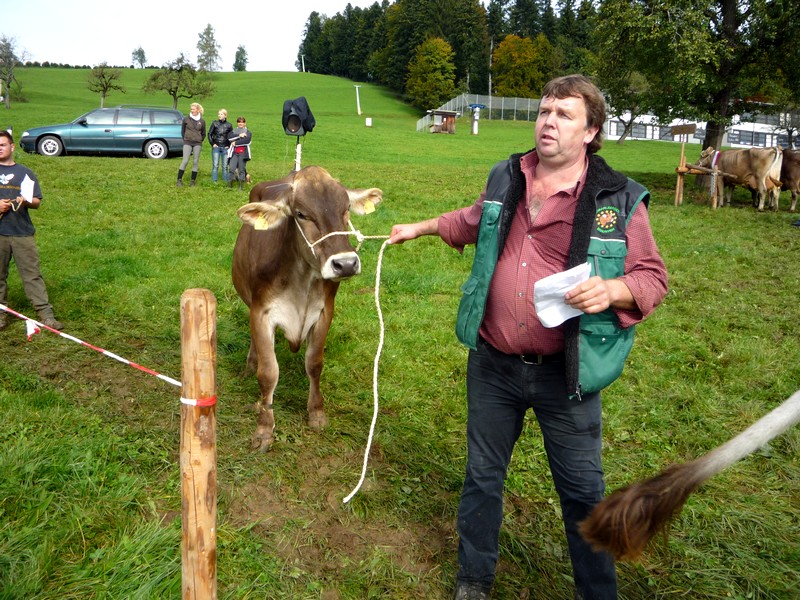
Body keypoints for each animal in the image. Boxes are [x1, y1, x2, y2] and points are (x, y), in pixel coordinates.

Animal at [232, 166, 383, 451]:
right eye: (301, 214)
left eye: (346, 208)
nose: (345, 264)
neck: (300, 281)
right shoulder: (261, 312)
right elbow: (268, 373)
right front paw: (264, 429)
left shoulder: (324, 312)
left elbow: (314, 363)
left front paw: (317, 413)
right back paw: (249, 365)